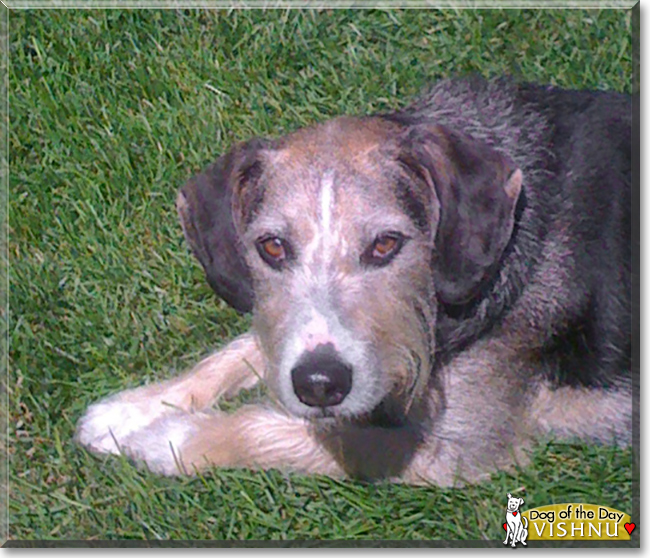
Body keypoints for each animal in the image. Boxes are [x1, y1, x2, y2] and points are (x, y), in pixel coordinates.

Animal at [73, 76, 632, 488]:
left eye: (386, 244)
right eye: (271, 247)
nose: (319, 384)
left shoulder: (455, 443)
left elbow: (282, 431)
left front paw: (167, 439)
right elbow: (242, 347)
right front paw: (130, 411)